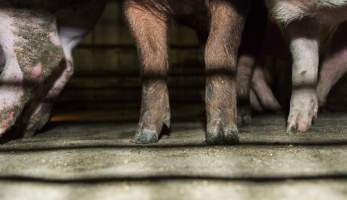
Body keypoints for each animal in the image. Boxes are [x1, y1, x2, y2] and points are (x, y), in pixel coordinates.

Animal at [123, 0, 250, 144]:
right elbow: (151, 62)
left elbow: (218, 50)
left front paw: (223, 138)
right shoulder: (140, 6)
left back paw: (242, 119)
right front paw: (142, 138)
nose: (140, 139)